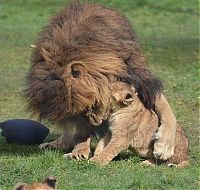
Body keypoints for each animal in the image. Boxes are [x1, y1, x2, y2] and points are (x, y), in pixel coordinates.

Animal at [25, 0, 177, 160]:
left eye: (93, 105)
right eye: (81, 112)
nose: (97, 123)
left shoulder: (140, 79)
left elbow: (166, 109)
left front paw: (165, 146)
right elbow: (80, 129)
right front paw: (79, 151)